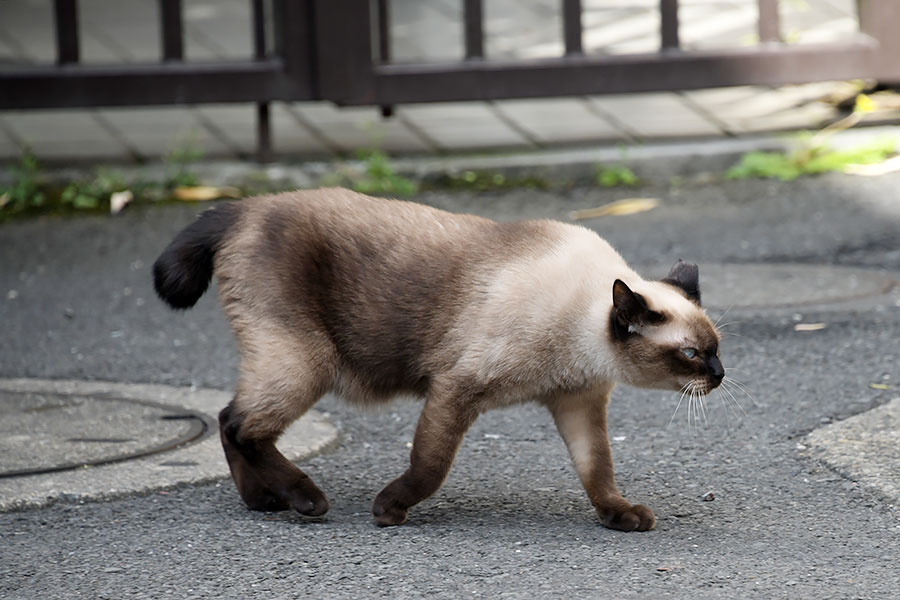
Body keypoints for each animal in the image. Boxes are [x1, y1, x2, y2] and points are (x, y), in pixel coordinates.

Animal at [149, 186, 724, 528]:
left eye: (716, 350)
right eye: (691, 354)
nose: (719, 377)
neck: (580, 338)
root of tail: (246, 205)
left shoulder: (577, 403)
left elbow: (598, 471)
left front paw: (619, 516)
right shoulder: (457, 388)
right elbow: (430, 466)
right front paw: (388, 510)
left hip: (287, 363)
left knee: (229, 419)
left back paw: (263, 501)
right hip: (306, 365)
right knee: (241, 425)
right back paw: (305, 501)